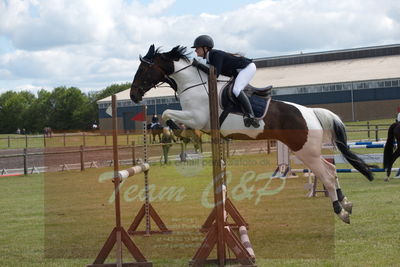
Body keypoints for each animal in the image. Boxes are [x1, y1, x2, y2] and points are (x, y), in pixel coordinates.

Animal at [129, 44, 376, 224]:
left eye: (142, 70)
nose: (133, 95)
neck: (194, 85)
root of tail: (311, 113)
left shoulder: (197, 117)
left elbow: (166, 113)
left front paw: (173, 128)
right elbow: (168, 114)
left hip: (306, 151)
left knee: (327, 175)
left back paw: (340, 211)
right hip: (307, 151)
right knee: (332, 170)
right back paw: (346, 203)